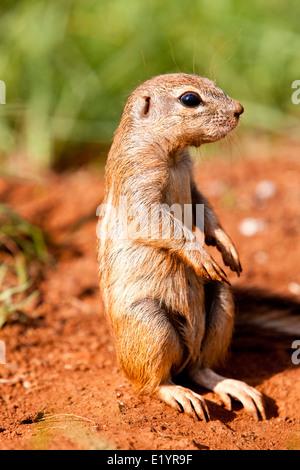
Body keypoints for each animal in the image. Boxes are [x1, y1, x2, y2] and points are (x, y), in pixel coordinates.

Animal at [97, 74, 266, 422]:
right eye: (190, 99)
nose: (239, 109)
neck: (174, 157)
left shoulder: (193, 181)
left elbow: (205, 207)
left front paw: (227, 249)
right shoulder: (137, 177)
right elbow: (152, 218)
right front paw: (202, 256)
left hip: (221, 302)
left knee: (201, 369)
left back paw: (233, 386)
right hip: (150, 323)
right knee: (153, 383)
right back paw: (181, 394)